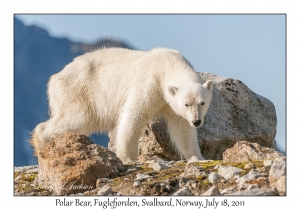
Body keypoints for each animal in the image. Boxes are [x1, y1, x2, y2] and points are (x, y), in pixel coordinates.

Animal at [30, 47, 213, 162]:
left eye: (202, 103)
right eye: (186, 104)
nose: (197, 121)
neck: (167, 64)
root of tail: (55, 78)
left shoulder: (170, 104)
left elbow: (182, 129)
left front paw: (199, 157)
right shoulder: (150, 84)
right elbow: (133, 115)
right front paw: (127, 158)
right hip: (78, 92)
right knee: (77, 119)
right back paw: (40, 144)